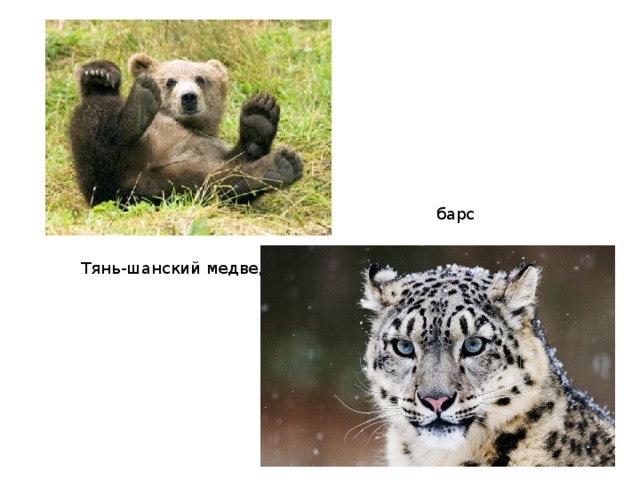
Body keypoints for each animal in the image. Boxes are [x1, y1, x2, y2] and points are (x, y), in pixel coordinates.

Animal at [69, 53, 303, 206]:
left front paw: (259, 117)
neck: (189, 125)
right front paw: (99, 72)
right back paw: (134, 103)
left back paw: (278, 165)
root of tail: (133, 179)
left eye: (201, 79)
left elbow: (238, 159)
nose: (188, 97)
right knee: (96, 118)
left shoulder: (210, 146)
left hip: (172, 183)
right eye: (170, 81)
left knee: (216, 183)